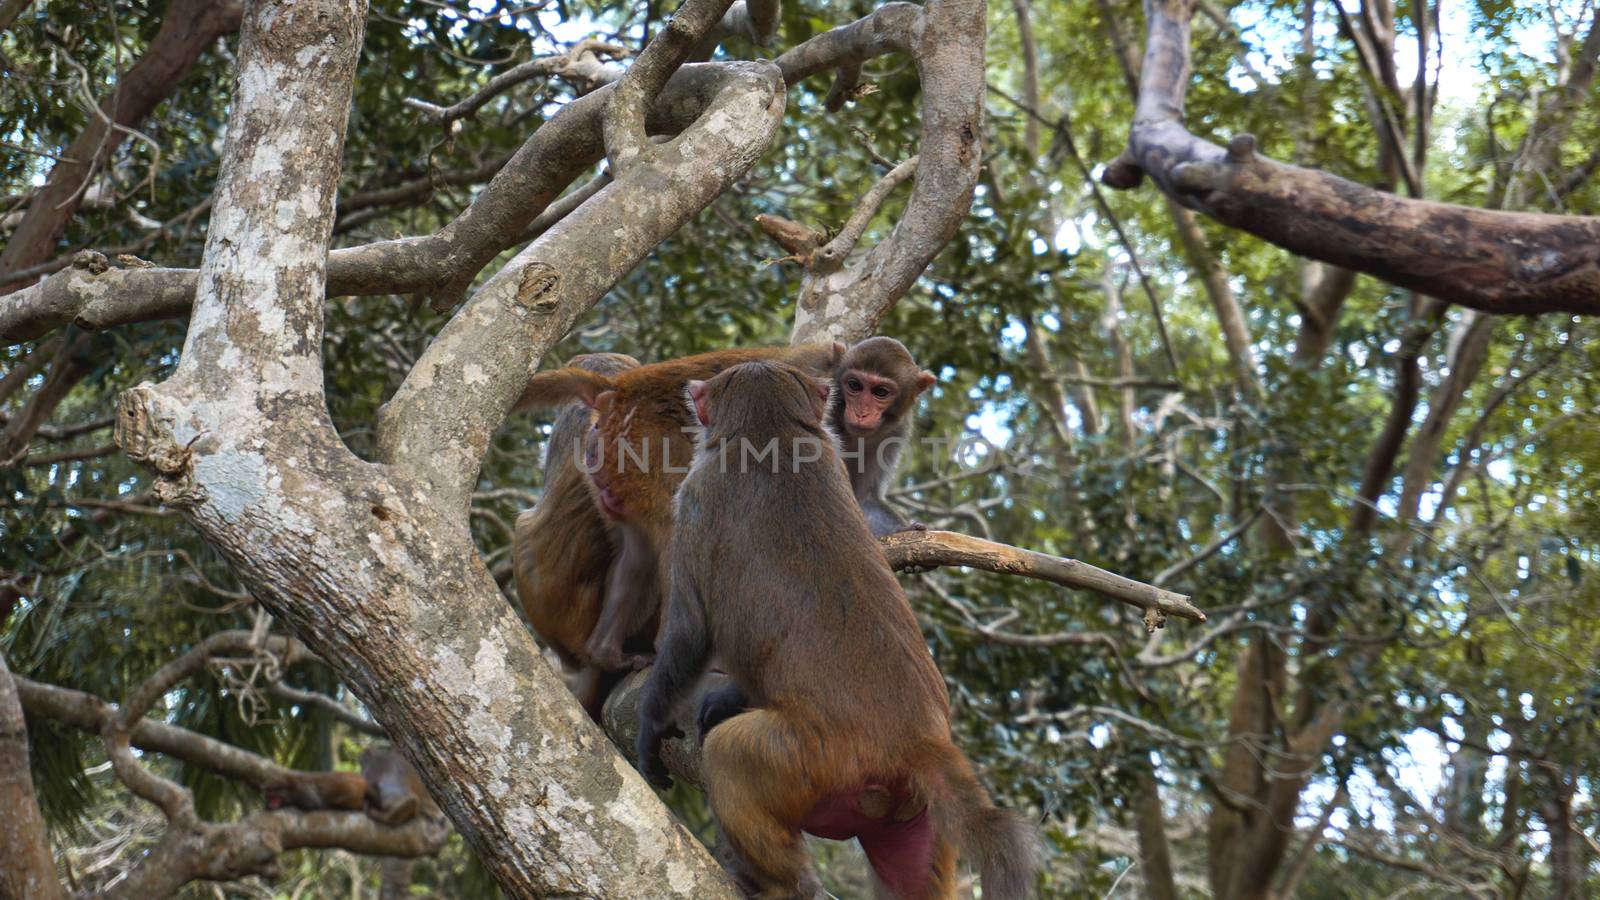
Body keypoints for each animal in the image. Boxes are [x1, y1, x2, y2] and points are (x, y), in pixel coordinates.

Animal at [512, 342, 844, 679]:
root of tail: (617, 391)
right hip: (641, 446)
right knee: (676, 526)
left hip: (608, 467)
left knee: (639, 551)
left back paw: (605, 652)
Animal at [832, 334, 934, 531]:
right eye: (854, 385)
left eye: (880, 392)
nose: (861, 413)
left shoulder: (897, 428)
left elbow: (866, 497)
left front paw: (904, 528)